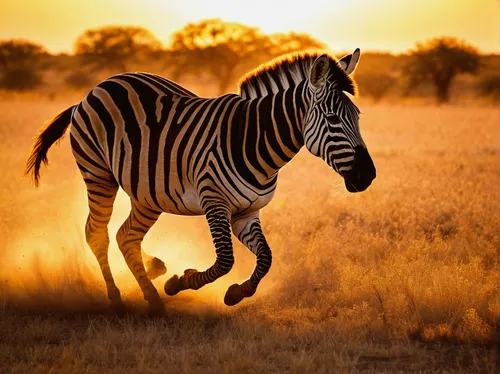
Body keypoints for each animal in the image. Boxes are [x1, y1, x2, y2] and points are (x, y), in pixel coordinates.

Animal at [24, 49, 376, 312]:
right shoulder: (214, 202)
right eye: (332, 118)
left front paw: (236, 293)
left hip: (148, 193)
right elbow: (225, 261)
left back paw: (152, 292)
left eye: (358, 116)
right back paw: (118, 298)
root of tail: (96, 89)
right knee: (97, 233)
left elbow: (266, 258)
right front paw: (180, 282)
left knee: (126, 236)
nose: (368, 176)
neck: (255, 141)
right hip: (98, 174)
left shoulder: (247, 212)